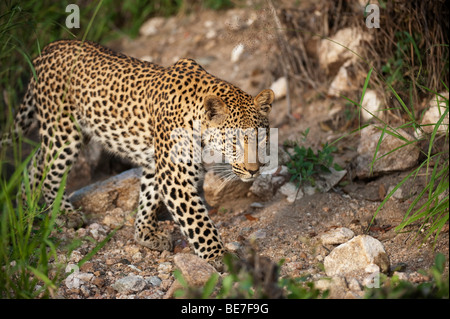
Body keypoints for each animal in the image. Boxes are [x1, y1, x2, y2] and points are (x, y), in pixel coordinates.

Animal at [8, 39, 274, 264]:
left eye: (261, 137)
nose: (254, 171)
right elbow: (198, 221)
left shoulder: (157, 163)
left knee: (37, 162)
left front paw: (144, 234)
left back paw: (26, 207)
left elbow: (149, 196)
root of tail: (48, 48)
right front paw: (219, 256)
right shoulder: (174, 175)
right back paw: (62, 213)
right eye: (233, 142)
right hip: (64, 132)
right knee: (51, 172)